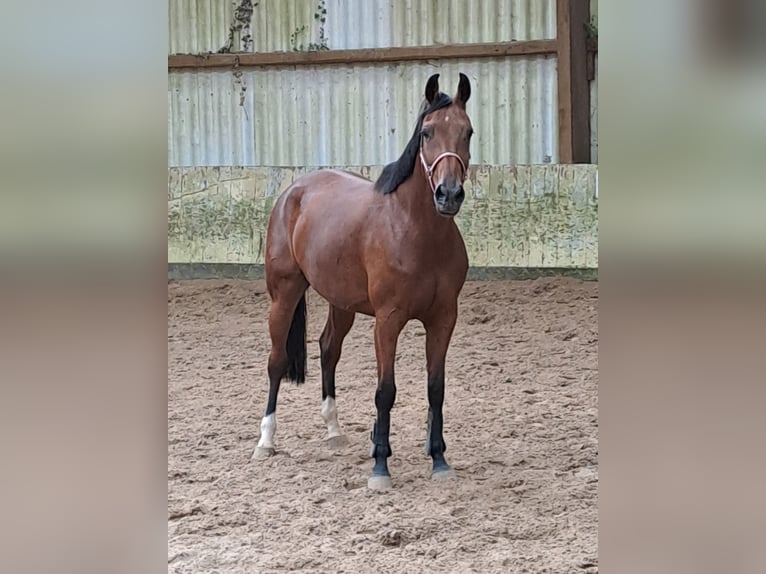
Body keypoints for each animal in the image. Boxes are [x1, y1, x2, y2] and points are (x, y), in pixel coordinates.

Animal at [255, 72, 474, 492]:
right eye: (426, 132)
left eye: (468, 132)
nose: (449, 194)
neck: (414, 230)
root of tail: (292, 192)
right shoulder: (388, 321)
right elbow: (385, 390)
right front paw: (380, 467)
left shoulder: (443, 319)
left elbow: (435, 387)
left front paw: (438, 459)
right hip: (284, 294)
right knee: (276, 362)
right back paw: (266, 441)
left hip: (341, 303)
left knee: (328, 350)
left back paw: (334, 431)